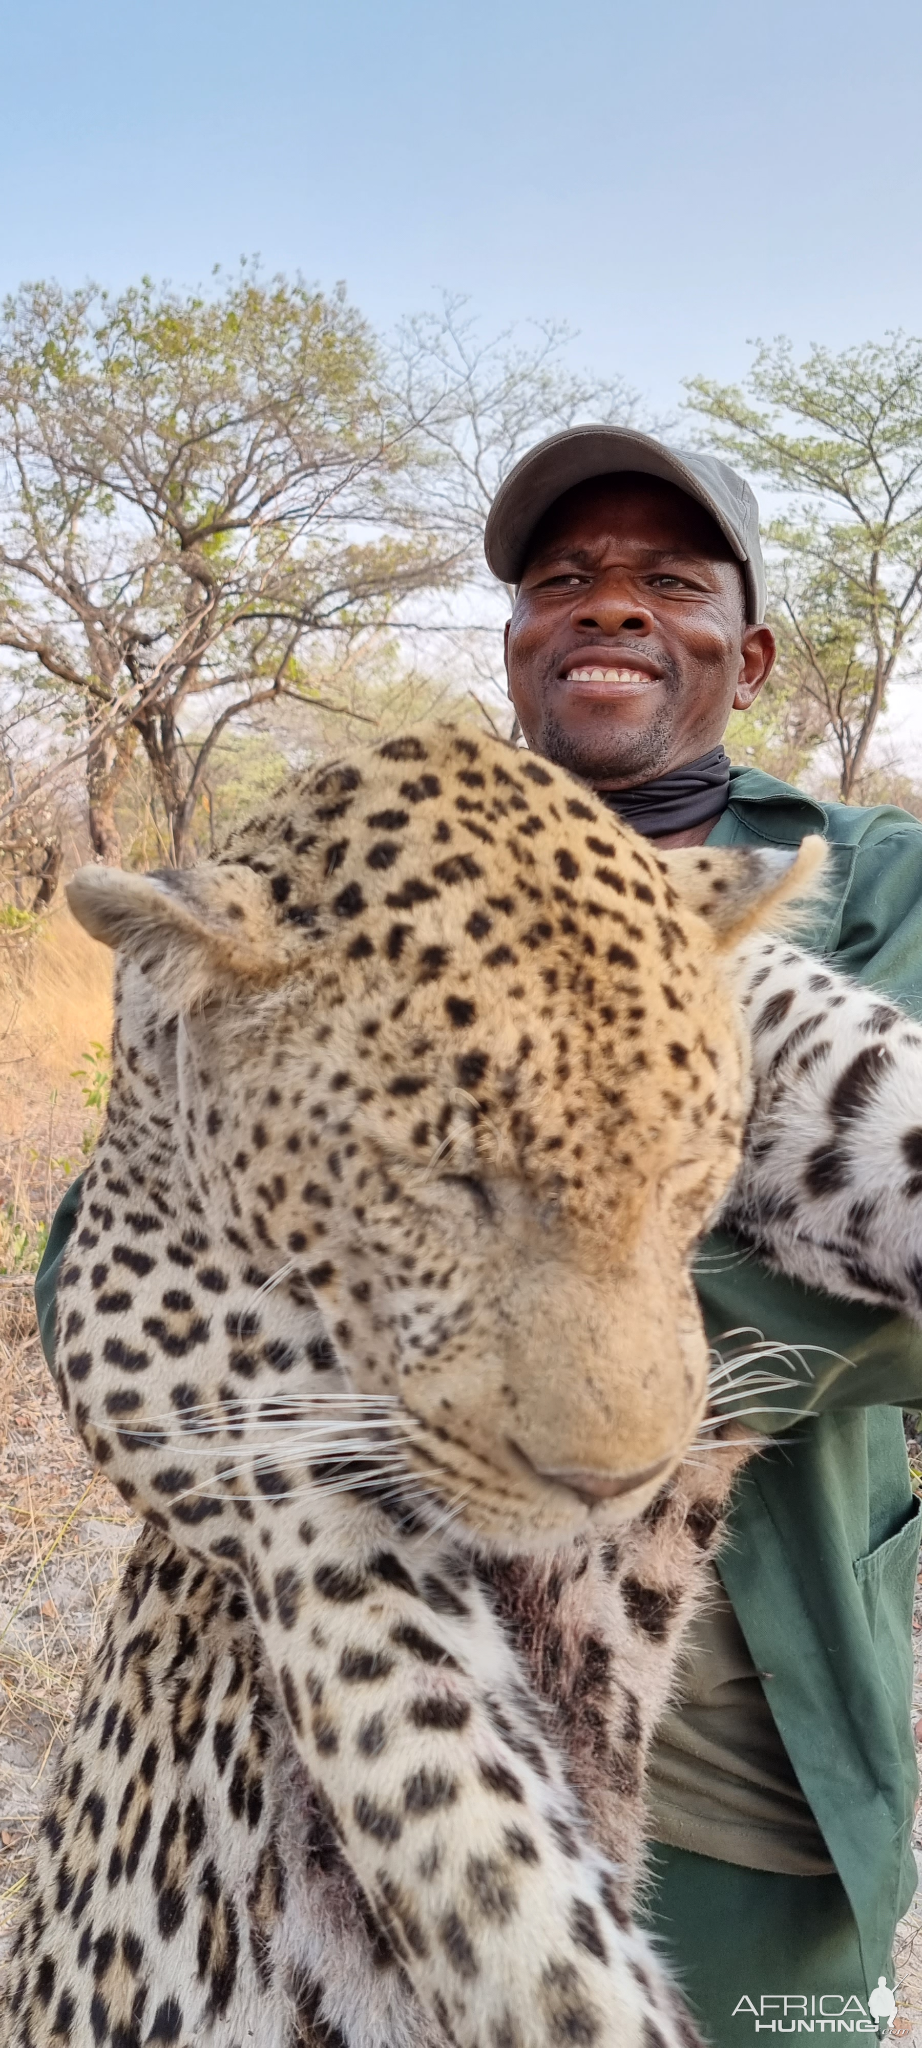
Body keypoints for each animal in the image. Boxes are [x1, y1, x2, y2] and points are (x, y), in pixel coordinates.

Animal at [7, 724, 922, 2048]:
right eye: (445, 1182)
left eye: (688, 1163)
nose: (614, 1481)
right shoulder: (226, 1430)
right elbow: (470, 1832)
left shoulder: (810, 1055)